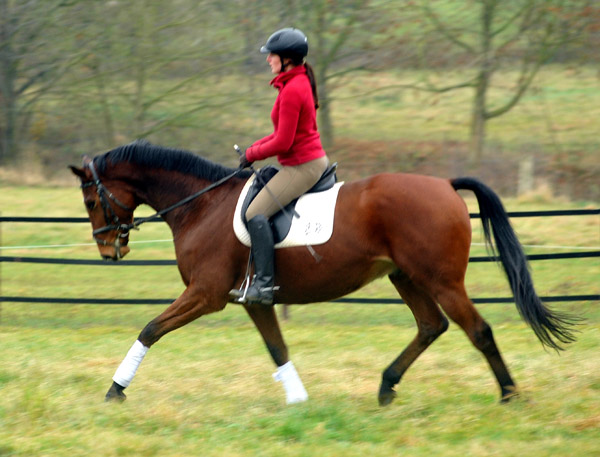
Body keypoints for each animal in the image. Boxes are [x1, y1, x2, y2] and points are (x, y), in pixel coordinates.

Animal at [70, 141, 576, 404]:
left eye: (92, 200)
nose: (109, 250)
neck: (201, 204)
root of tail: (445, 185)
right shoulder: (251, 299)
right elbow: (277, 347)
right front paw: (298, 401)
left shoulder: (206, 294)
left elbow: (150, 328)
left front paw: (115, 389)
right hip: (405, 276)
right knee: (431, 326)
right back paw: (386, 386)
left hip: (441, 280)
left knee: (478, 330)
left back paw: (508, 394)